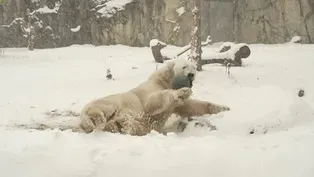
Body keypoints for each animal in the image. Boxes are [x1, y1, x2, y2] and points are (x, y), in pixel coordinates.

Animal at [79, 58, 229, 136]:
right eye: (184, 67)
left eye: (193, 67)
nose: (191, 75)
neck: (163, 80)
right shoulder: (150, 91)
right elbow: (152, 103)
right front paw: (183, 91)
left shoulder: (176, 105)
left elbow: (190, 106)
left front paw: (224, 108)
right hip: (108, 102)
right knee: (104, 110)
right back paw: (100, 120)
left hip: (134, 122)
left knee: (134, 125)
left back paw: (119, 125)